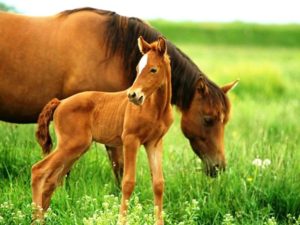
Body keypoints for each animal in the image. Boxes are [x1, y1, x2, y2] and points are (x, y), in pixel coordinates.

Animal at [31, 36, 172, 224]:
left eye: (153, 69)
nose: (133, 95)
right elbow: (127, 183)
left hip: (77, 148)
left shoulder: (154, 143)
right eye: (137, 69)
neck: (156, 109)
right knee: (38, 171)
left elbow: (158, 184)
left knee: (51, 181)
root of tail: (60, 102)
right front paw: (121, 221)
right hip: (70, 145)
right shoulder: (131, 140)